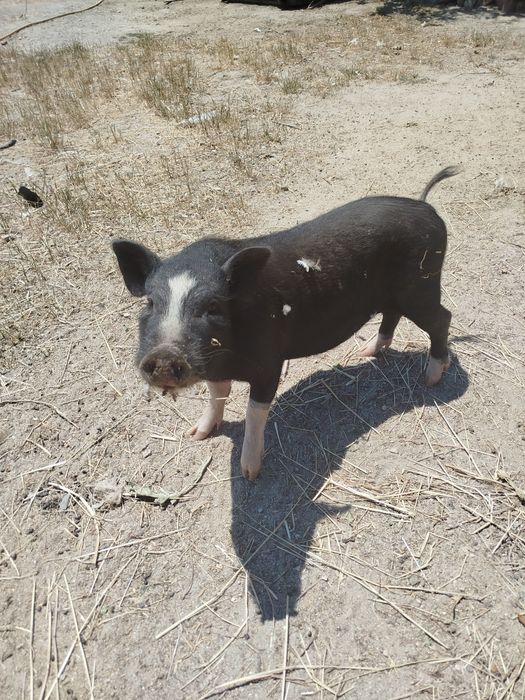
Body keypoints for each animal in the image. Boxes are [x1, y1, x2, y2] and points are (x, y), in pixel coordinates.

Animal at [112, 166, 459, 480]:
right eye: (150, 302)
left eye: (212, 306)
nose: (165, 355)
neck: (227, 358)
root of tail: (425, 206)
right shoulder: (214, 366)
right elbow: (217, 394)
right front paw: (196, 434)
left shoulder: (269, 362)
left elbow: (255, 411)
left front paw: (249, 474)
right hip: (396, 294)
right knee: (393, 315)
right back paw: (366, 353)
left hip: (421, 285)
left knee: (443, 318)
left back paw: (430, 378)